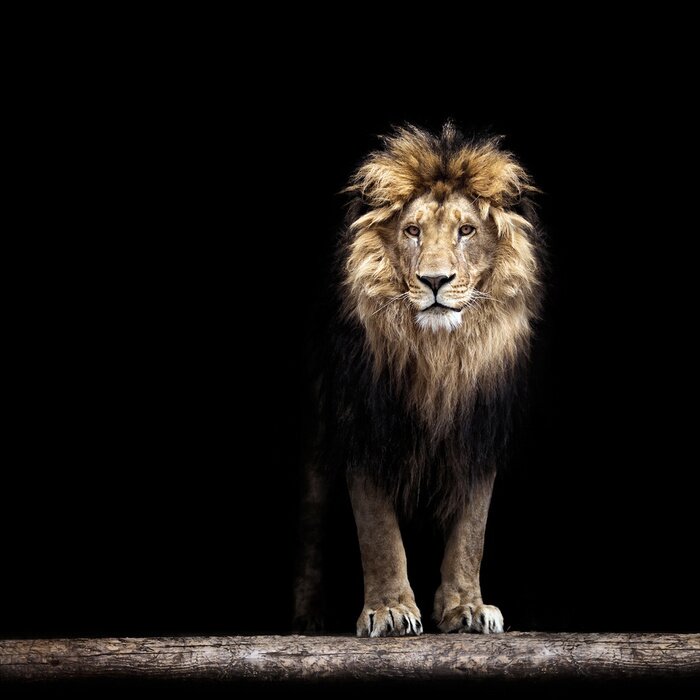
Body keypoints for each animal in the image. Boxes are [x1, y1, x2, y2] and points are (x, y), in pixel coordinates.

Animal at [294, 122, 543, 637]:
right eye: (412, 231)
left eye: (466, 230)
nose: (434, 280)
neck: (438, 356)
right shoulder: (364, 424)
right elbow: (379, 532)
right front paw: (389, 610)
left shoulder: (478, 431)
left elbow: (472, 531)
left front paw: (467, 608)